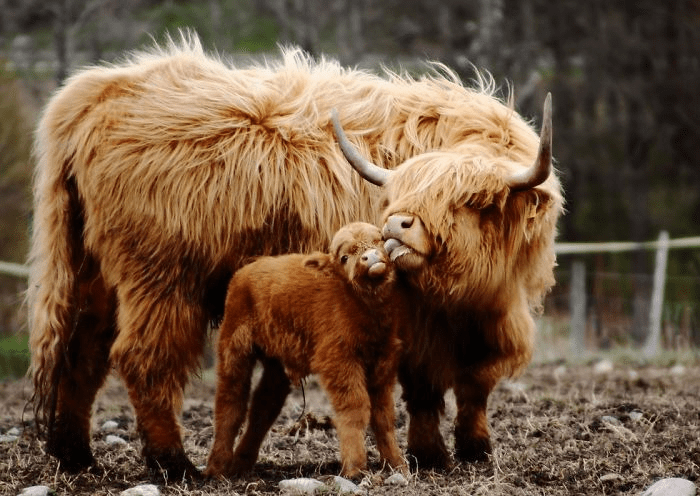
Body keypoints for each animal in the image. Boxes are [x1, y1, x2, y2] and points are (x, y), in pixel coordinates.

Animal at [204, 221, 404, 476]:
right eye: (344, 257)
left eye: (379, 240)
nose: (370, 257)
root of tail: (245, 270)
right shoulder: (339, 361)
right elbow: (355, 409)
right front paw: (356, 468)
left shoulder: (383, 361)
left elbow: (384, 414)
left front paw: (397, 464)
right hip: (233, 349)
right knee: (230, 402)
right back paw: (217, 468)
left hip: (276, 363)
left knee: (263, 406)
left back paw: (241, 463)